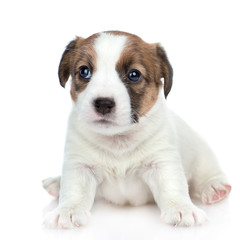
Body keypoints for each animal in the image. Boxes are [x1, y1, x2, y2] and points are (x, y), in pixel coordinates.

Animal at [42, 31, 231, 228]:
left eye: (134, 74)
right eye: (84, 71)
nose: (103, 103)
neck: (118, 139)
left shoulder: (162, 162)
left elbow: (172, 187)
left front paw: (182, 208)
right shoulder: (80, 166)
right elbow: (74, 191)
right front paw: (67, 211)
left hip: (201, 155)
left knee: (206, 173)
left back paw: (214, 187)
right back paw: (56, 182)